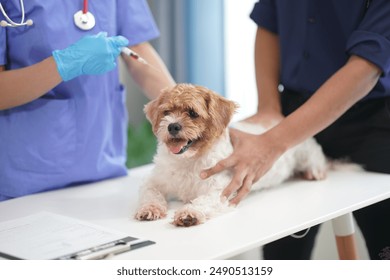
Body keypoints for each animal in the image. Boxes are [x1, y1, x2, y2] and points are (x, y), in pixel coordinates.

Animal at [134, 82, 326, 225]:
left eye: (193, 113)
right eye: (166, 112)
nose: (172, 126)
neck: (188, 161)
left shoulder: (220, 190)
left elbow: (202, 201)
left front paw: (190, 213)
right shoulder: (154, 181)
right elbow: (151, 194)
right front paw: (149, 209)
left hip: (307, 153)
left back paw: (315, 171)